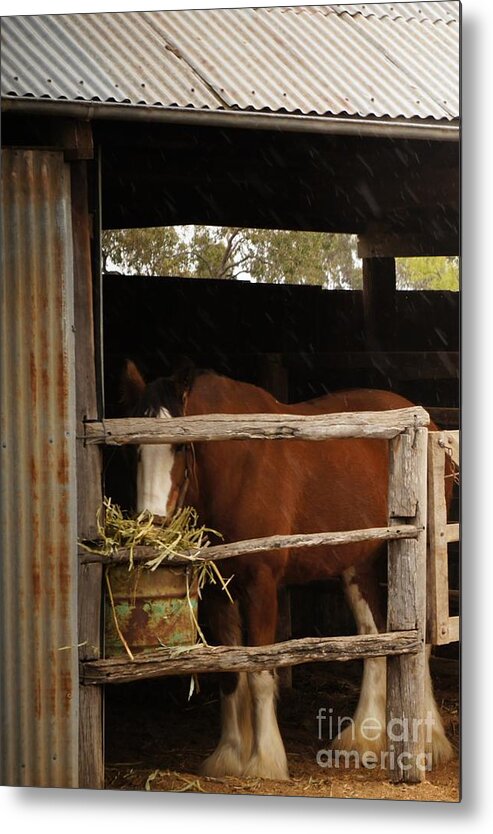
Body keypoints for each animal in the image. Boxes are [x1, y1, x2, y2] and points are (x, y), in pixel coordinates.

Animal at [121, 360, 452, 780]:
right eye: (132, 448)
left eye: (180, 446)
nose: (152, 525)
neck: (237, 467)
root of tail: (431, 425)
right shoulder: (218, 591)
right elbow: (230, 673)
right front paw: (229, 756)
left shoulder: (261, 586)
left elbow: (262, 672)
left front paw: (264, 761)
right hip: (358, 564)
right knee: (375, 637)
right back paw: (363, 738)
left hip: (417, 557)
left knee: (420, 644)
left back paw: (429, 741)